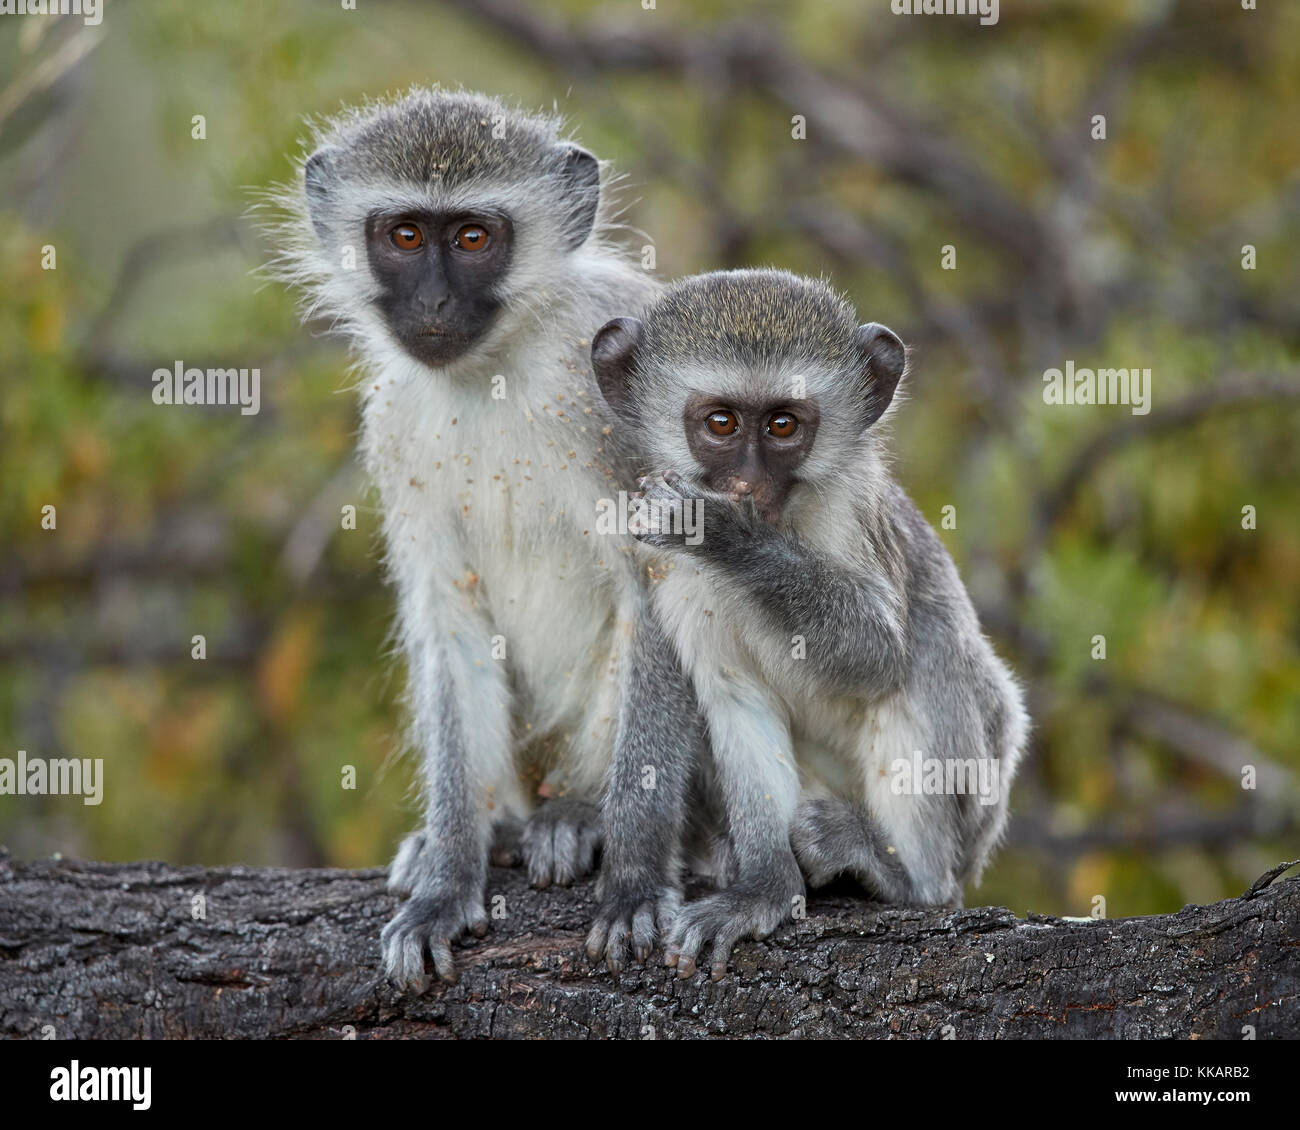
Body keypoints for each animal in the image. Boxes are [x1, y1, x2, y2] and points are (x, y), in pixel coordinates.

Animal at [269, 87, 700, 987]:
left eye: (473, 237)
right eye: (405, 236)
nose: (433, 305)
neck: (495, 369)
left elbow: (664, 590)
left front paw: (635, 879)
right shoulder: (396, 427)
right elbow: (450, 618)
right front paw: (445, 881)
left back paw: (578, 815)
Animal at [591, 269, 1029, 980]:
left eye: (783, 425)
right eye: (721, 423)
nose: (746, 486)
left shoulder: (852, 515)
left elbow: (877, 654)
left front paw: (724, 532)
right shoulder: (664, 571)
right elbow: (735, 695)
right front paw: (765, 889)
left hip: (979, 798)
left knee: (928, 658)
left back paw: (907, 877)